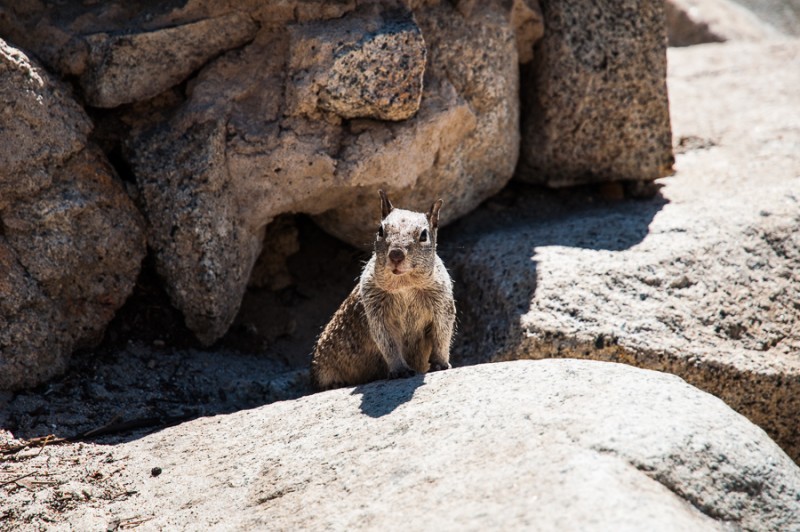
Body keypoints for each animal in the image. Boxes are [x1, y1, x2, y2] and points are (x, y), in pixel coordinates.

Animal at [311, 189, 456, 391]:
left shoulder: (442, 304)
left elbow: (442, 334)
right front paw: (400, 370)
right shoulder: (377, 312)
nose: (396, 254)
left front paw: (441, 364)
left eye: (424, 235)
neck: (404, 286)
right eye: (380, 230)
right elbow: (388, 343)